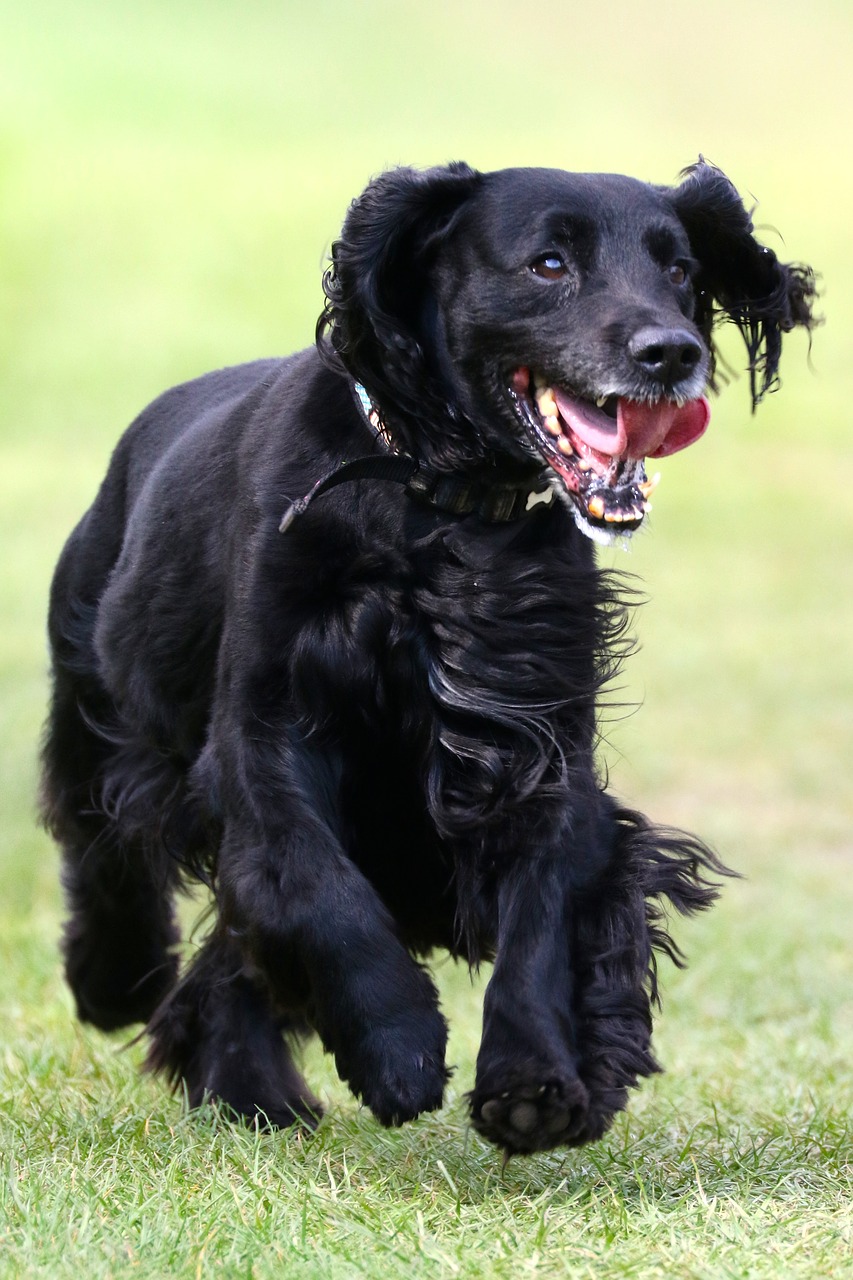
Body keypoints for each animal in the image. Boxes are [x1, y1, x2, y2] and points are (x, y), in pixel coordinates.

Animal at [39, 157, 809, 1152]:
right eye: (550, 262)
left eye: (678, 269)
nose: (672, 352)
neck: (442, 507)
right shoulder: (264, 731)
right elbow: (316, 886)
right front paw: (396, 1047)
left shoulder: (535, 744)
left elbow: (545, 908)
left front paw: (534, 1078)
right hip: (97, 699)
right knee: (105, 848)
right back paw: (118, 981)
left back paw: (254, 1090)